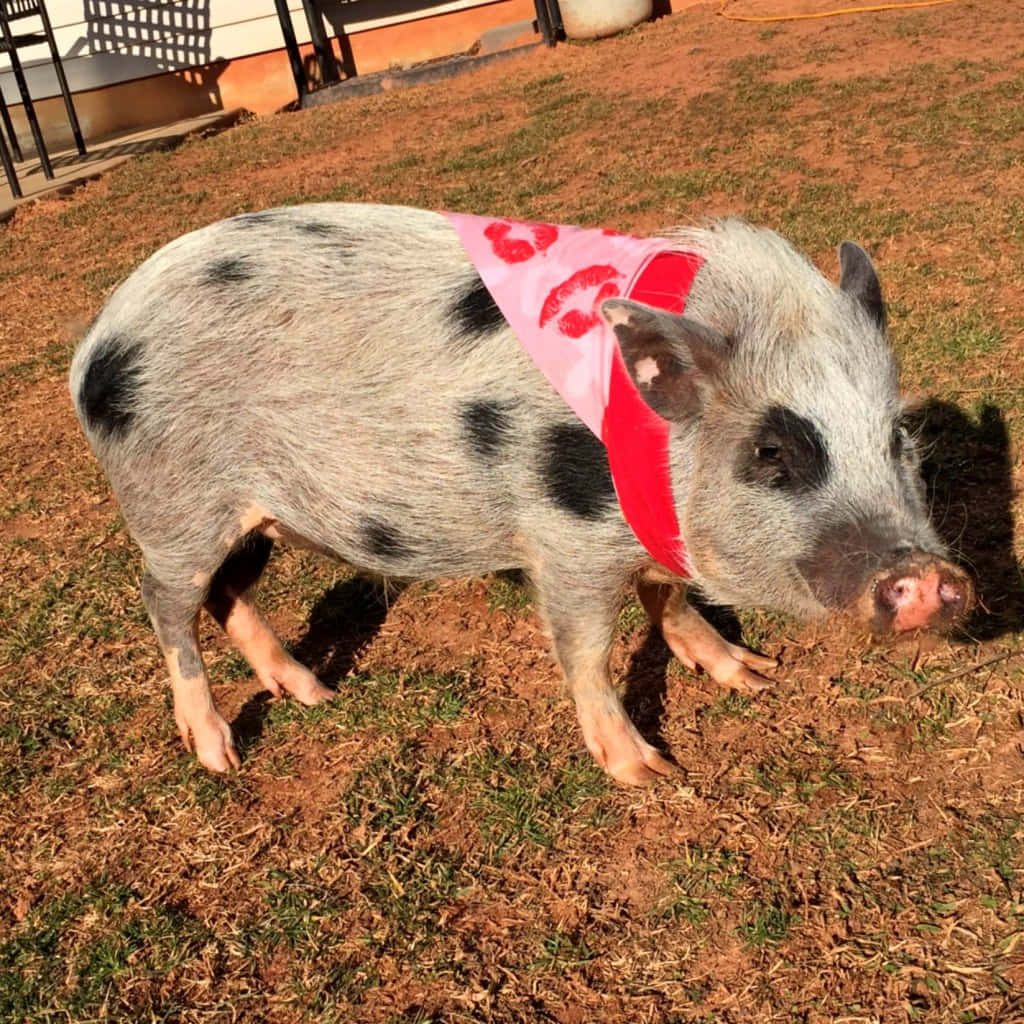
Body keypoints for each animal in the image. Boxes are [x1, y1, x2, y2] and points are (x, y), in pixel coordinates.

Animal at [69, 204, 973, 785]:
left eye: (897, 438)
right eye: (773, 451)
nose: (929, 575)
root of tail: (96, 344)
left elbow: (668, 594)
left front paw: (751, 676)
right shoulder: (565, 535)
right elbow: (588, 650)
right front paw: (649, 773)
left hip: (249, 514)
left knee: (225, 591)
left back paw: (314, 692)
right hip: (173, 505)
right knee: (163, 601)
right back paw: (221, 754)